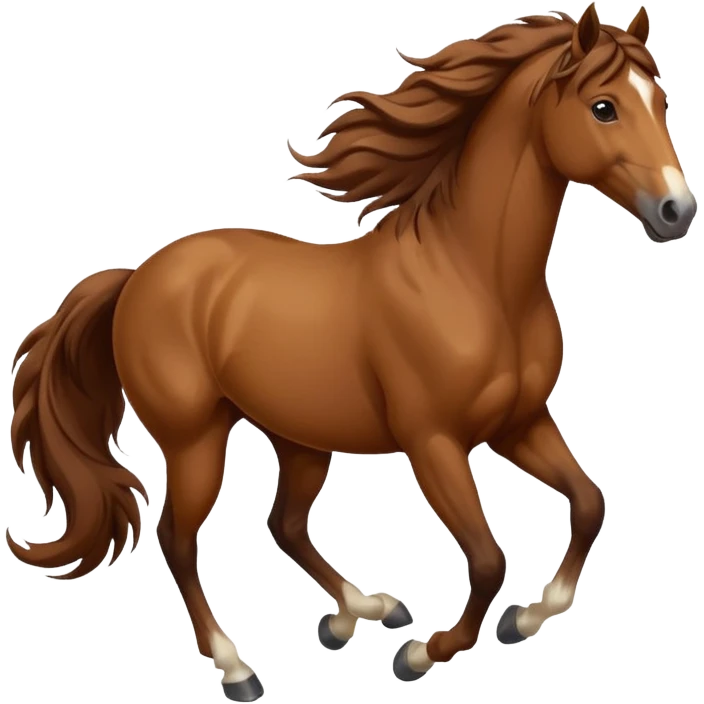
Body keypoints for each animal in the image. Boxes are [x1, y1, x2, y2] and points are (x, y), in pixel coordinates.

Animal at [8, 4, 696, 702]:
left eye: (661, 101)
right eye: (604, 107)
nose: (677, 211)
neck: (474, 279)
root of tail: (136, 277)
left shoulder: (519, 424)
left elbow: (589, 503)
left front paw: (525, 618)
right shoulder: (434, 442)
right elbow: (487, 558)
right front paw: (423, 654)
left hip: (300, 437)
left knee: (283, 523)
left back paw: (360, 612)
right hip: (194, 438)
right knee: (177, 537)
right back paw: (238, 667)